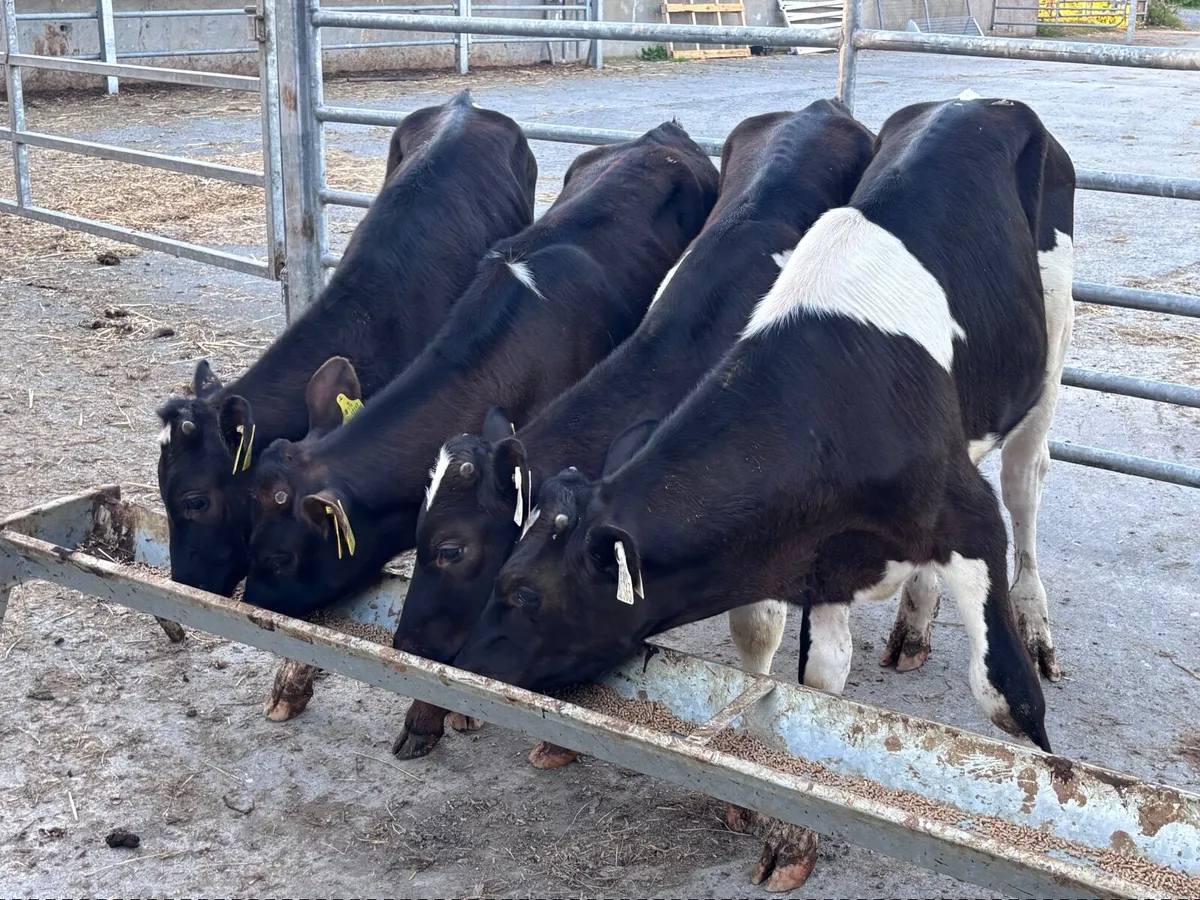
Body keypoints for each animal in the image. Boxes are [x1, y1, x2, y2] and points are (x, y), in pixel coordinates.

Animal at [451, 95, 1075, 891]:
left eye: (524, 593)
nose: (461, 667)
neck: (829, 406)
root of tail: (978, 101)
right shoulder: (821, 557)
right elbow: (812, 690)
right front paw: (787, 828)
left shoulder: (968, 521)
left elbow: (1005, 696)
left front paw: (1055, 798)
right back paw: (913, 625)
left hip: (1049, 349)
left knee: (1026, 483)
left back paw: (1034, 622)